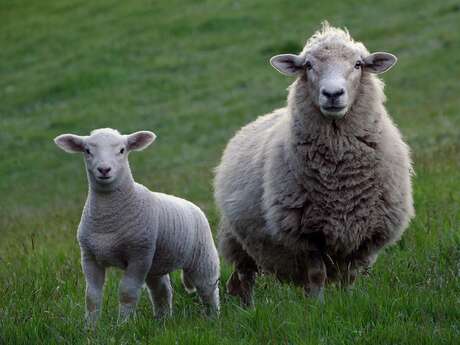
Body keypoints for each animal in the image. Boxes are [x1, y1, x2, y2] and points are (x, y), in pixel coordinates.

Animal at [54, 128, 219, 326]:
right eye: (87, 151)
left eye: (122, 150)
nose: (104, 170)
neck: (107, 219)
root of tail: (193, 206)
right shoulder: (89, 257)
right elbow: (91, 296)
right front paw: (90, 327)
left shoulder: (139, 255)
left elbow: (127, 292)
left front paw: (123, 325)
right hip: (156, 264)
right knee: (162, 291)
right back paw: (162, 320)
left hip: (202, 256)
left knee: (208, 287)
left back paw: (213, 317)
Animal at [214, 22, 416, 306]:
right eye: (308, 65)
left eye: (358, 64)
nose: (332, 94)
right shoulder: (306, 236)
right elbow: (317, 275)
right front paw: (318, 307)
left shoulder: (363, 233)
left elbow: (349, 276)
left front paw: (347, 302)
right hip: (238, 240)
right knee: (245, 278)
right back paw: (249, 309)